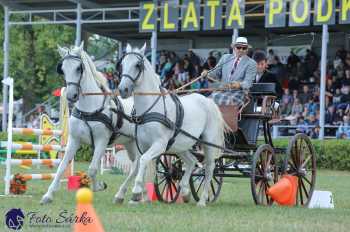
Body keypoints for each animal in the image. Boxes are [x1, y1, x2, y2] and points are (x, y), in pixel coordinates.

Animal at [40, 42, 144, 204]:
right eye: (63, 69)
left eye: (79, 68)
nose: (71, 96)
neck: (88, 110)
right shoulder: (74, 140)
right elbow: (62, 166)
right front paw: (48, 195)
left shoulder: (102, 140)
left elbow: (93, 168)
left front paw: (98, 186)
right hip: (129, 143)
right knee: (136, 166)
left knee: (139, 165)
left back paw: (130, 194)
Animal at [117, 44, 227, 207]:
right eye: (122, 64)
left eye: (137, 65)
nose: (122, 90)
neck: (151, 108)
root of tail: (208, 100)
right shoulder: (142, 146)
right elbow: (137, 166)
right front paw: (127, 195)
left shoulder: (160, 144)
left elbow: (143, 161)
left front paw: (136, 192)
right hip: (180, 145)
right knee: (192, 161)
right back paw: (185, 192)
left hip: (208, 143)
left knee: (209, 168)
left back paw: (202, 200)